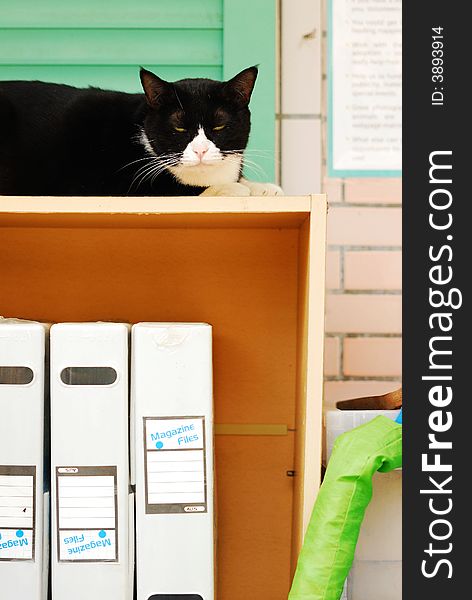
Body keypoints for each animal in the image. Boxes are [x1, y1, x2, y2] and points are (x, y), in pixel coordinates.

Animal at [0, 66, 280, 197]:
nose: (200, 150)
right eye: (178, 126)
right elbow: (177, 187)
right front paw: (233, 188)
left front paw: (262, 187)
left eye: (219, 125)